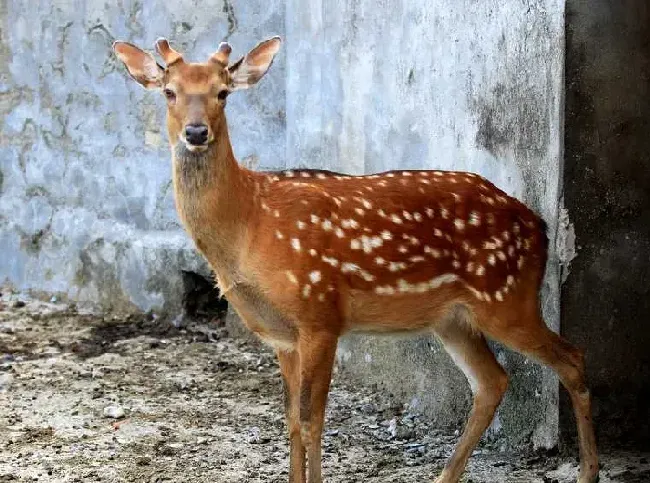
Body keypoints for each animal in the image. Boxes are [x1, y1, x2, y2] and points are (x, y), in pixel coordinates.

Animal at [111, 36, 596, 482]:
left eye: (223, 92)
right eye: (169, 91)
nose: (196, 133)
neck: (249, 224)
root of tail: (539, 225)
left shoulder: (320, 313)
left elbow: (313, 419)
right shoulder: (282, 335)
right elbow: (290, 420)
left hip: (506, 295)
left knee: (571, 358)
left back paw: (588, 471)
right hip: (453, 318)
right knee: (493, 381)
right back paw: (446, 476)